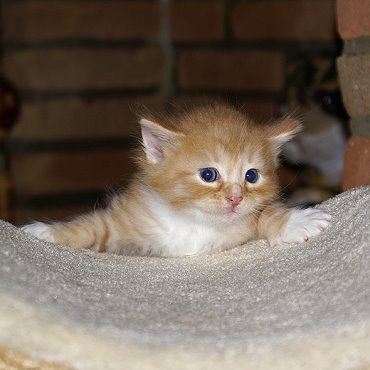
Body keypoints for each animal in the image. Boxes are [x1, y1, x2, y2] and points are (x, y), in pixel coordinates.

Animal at [21, 102, 330, 256]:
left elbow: (265, 214)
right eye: (208, 175)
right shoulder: (126, 222)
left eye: (251, 176)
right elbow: (89, 227)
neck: (192, 223)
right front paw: (44, 233)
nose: (235, 198)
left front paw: (297, 222)